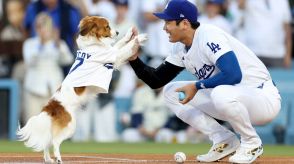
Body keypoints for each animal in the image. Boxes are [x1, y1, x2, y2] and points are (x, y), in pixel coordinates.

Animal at [16, 15, 147, 164]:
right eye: (107, 26)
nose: (118, 32)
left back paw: (48, 159)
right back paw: (58, 158)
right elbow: (125, 48)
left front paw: (129, 34)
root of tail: (52, 106)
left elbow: (119, 44)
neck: (92, 44)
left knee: (47, 142)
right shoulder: (114, 55)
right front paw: (140, 38)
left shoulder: (111, 51)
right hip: (70, 126)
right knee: (55, 142)